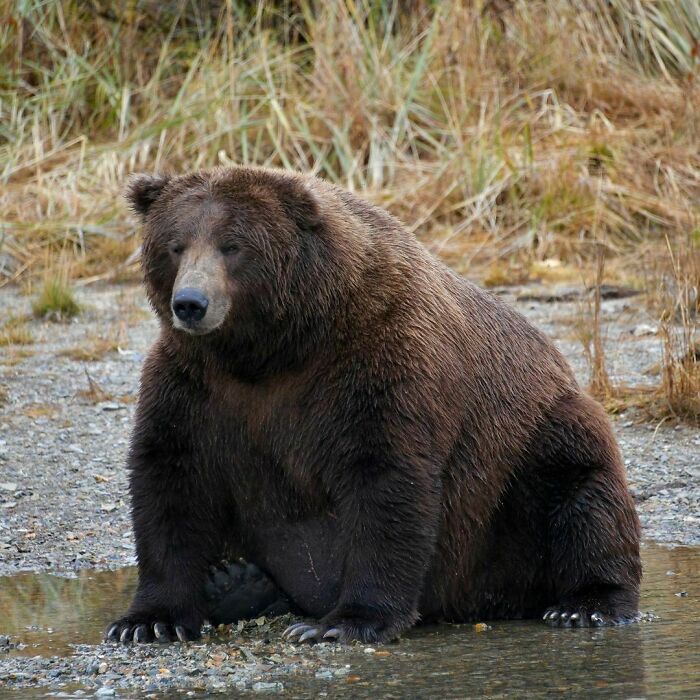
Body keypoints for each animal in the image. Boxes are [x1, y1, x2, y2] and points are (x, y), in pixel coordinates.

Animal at [105, 166, 641, 645]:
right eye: (175, 245)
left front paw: (344, 622)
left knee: (583, 492)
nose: (190, 303)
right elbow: (171, 479)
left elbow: (385, 478)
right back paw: (237, 582)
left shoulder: (378, 364)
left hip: (527, 459)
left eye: (232, 246)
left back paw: (585, 605)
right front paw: (148, 620)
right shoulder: (197, 386)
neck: (276, 349)